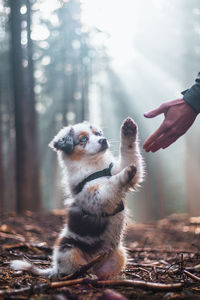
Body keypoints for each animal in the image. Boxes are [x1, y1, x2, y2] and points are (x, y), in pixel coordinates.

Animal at [11, 116, 144, 278]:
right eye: (83, 139)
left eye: (98, 134)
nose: (103, 140)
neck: (94, 166)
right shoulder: (96, 197)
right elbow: (111, 183)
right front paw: (124, 173)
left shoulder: (121, 171)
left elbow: (129, 156)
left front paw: (129, 130)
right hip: (68, 249)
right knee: (71, 270)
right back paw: (83, 275)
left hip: (119, 254)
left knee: (102, 272)